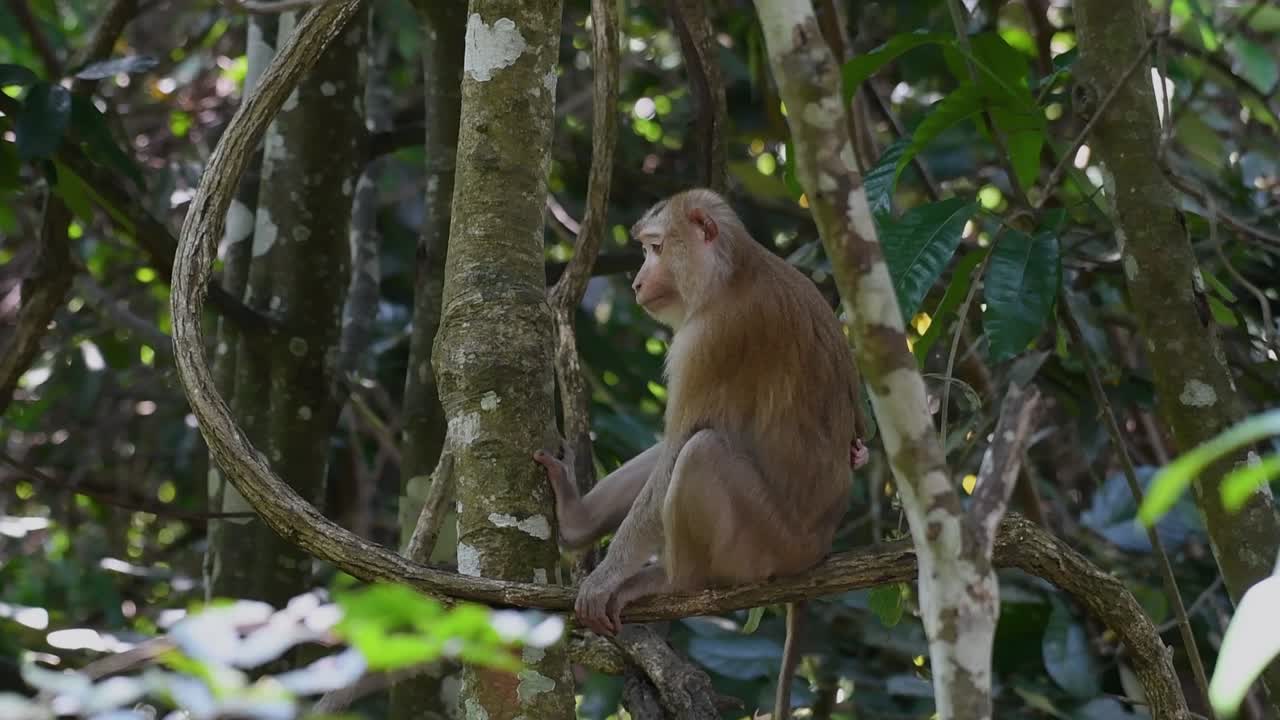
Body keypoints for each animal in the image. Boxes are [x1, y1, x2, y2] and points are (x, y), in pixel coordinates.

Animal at [534, 188, 869, 719]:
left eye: (654, 248)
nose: (637, 280)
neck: (733, 273)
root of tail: (818, 549)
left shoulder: (710, 340)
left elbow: (680, 444)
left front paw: (605, 578)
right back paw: (575, 520)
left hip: (765, 545)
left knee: (699, 451)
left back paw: (675, 581)